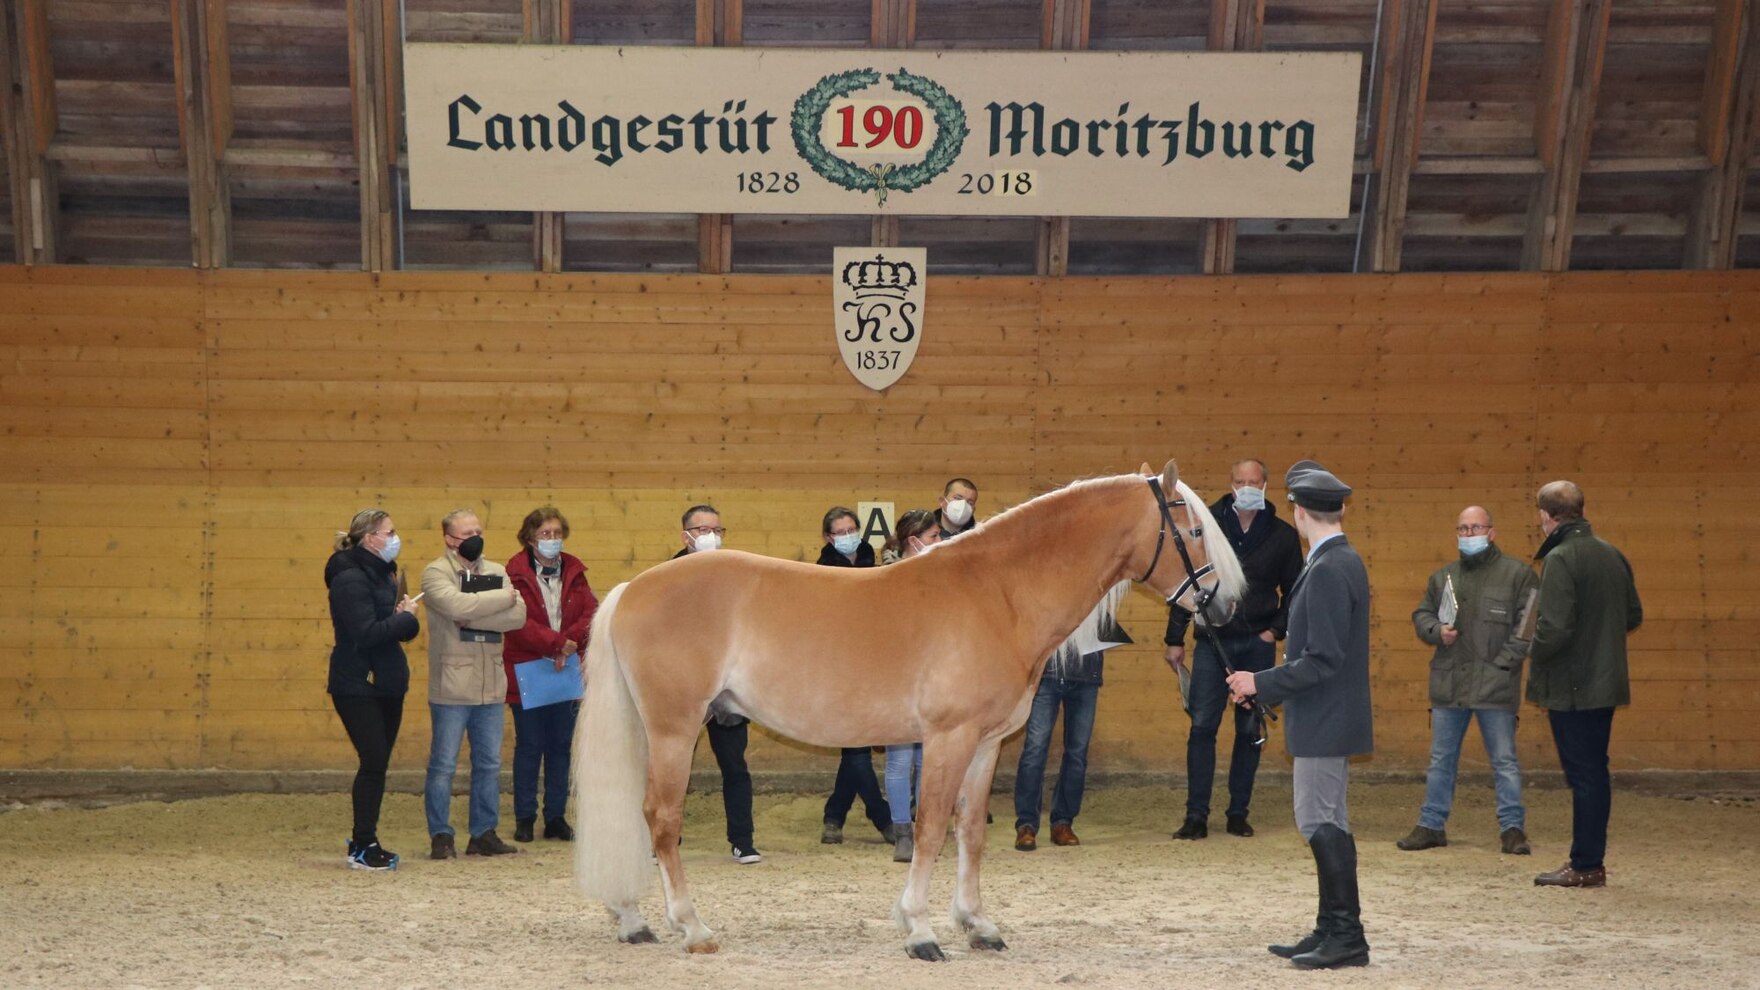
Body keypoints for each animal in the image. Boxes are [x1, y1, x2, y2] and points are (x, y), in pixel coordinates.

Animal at [570, 461, 1246, 958]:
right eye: (1192, 531)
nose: (1226, 608)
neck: (998, 593)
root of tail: (635, 588)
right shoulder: (947, 738)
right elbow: (929, 826)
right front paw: (920, 929)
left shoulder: (985, 744)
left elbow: (971, 831)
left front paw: (977, 924)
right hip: (675, 729)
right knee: (661, 818)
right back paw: (692, 928)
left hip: (651, 732)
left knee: (634, 815)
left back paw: (631, 919)